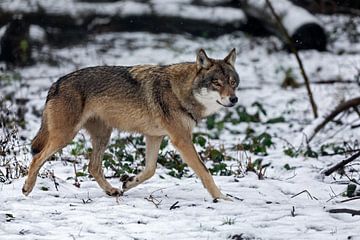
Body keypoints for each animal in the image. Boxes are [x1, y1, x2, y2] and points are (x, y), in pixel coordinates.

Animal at [23, 48, 240, 201]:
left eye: (232, 82)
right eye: (217, 83)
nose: (234, 99)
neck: (180, 92)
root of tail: (56, 84)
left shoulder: (155, 136)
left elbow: (150, 170)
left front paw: (128, 183)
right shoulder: (181, 140)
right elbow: (205, 172)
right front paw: (221, 197)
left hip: (103, 136)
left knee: (93, 167)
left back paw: (112, 191)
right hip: (65, 137)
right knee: (37, 157)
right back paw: (27, 188)